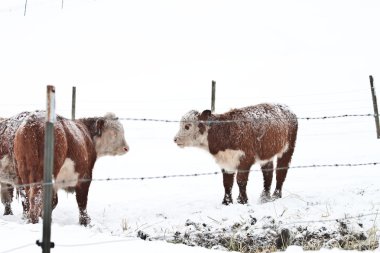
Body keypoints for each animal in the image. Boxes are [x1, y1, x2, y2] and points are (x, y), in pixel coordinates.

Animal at [0, 110, 129, 225]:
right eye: (113, 133)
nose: (126, 148)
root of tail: (32, 123)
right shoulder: (85, 176)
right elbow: (82, 202)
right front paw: (85, 222)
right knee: (36, 198)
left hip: (24, 173)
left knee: (26, 199)